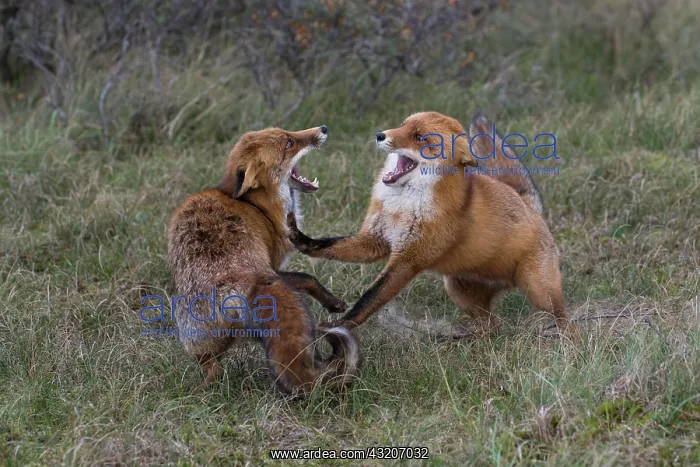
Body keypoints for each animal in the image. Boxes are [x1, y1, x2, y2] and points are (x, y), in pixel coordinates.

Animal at [167, 125, 361, 395]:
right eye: (289, 143)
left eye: (289, 133)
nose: (323, 128)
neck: (259, 207)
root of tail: (232, 281)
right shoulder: (276, 264)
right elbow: (308, 278)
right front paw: (333, 303)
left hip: (197, 340)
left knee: (213, 370)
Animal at [287, 111, 576, 338]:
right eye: (402, 125)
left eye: (419, 137)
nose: (380, 134)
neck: (402, 205)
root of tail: (530, 208)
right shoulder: (374, 241)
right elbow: (329, 245)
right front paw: (300, 238)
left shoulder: (409, 259)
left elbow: (370, 297)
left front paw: (341, 324)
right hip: (460, 293)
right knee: (493, 326)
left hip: (539, 291)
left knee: (564, 318)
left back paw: (570, 345)